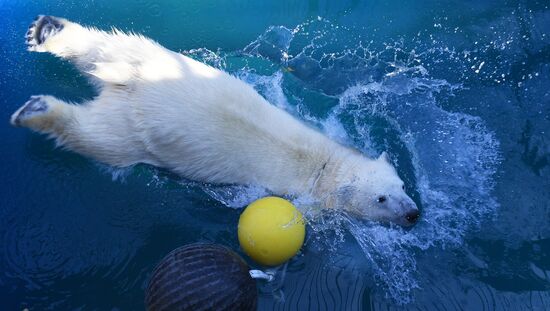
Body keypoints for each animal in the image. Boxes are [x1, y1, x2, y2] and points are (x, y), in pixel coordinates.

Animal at [11, 15, 422, 227]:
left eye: (402, 184)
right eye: (381, 198)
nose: (413, 213)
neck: (325, 165)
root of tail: (126, 86)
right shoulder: (291, 192)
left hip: (145, 59)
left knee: (105, 46)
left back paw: (47, 30)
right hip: (133, 131)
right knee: (96, 138)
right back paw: (38, 111)